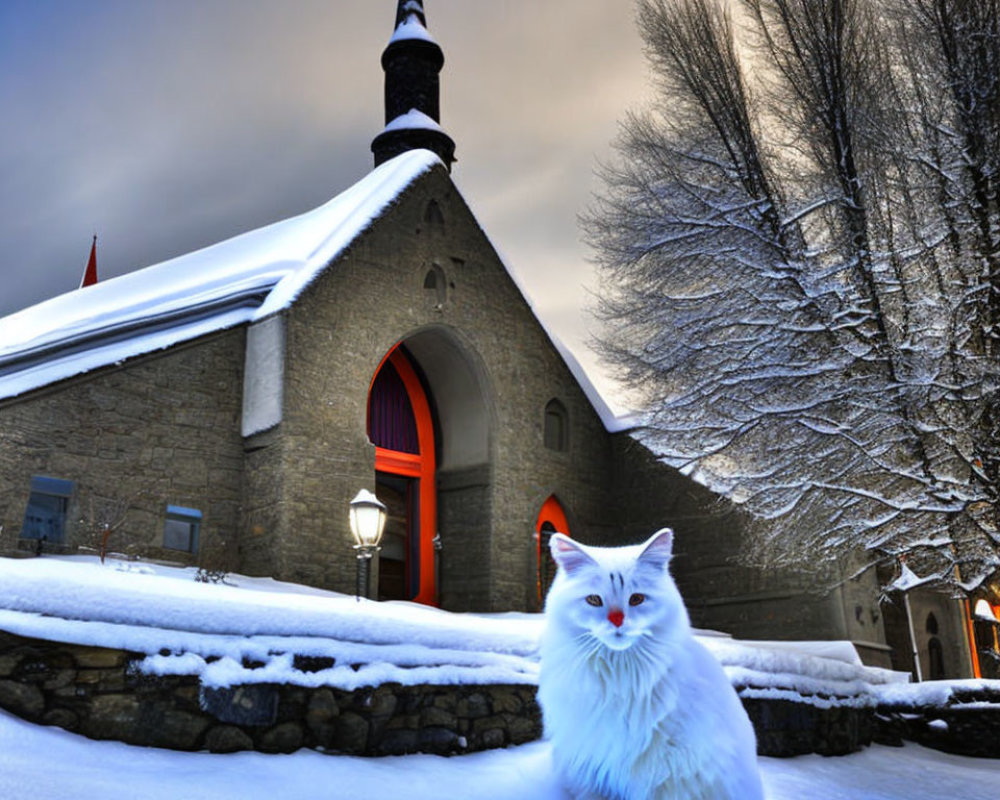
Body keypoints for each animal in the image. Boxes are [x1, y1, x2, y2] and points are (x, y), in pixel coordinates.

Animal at [540, 528, 764, 796]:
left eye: (636, 599)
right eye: (594, 600)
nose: (617, 620)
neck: (619, 677)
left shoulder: (665, 776)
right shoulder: (590, 768)